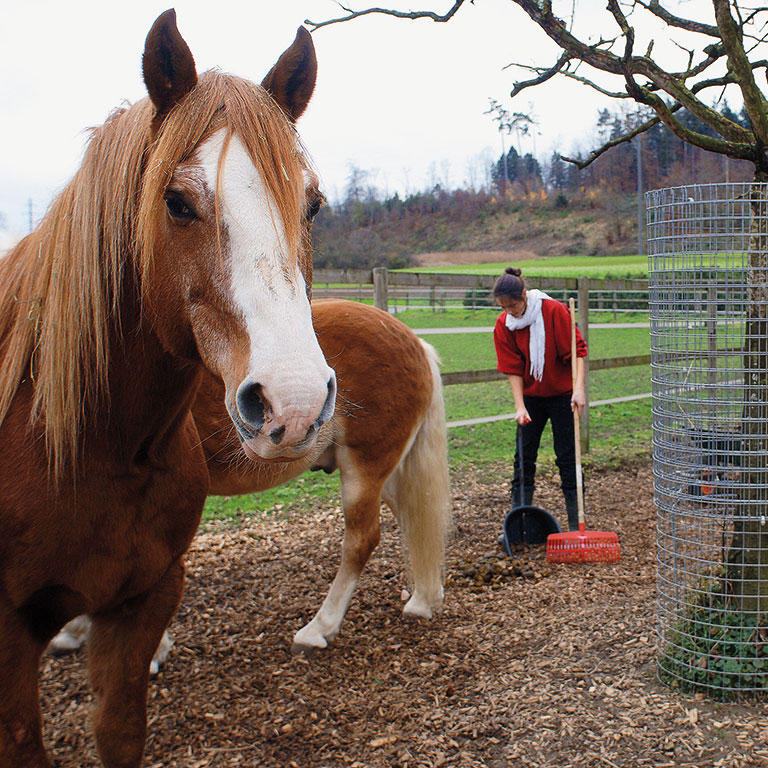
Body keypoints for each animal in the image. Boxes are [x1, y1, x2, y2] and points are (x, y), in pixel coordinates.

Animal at [51, 300, 450, 660]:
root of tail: (413, 340)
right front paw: (74, 632)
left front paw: (150, 651)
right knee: (414, 518)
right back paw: (424, 600)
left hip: (363, 467)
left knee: (362, 540)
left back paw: (318, 629)